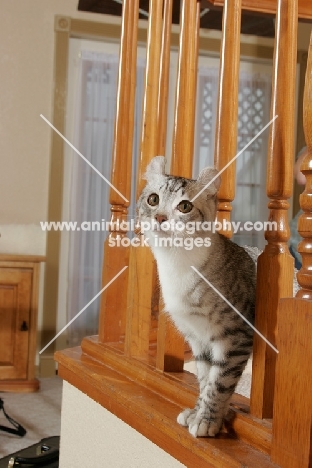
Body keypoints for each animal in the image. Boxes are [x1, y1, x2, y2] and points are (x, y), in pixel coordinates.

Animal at [136, 155, 256, 436]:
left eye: (184, 206)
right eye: (153, 199)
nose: (160, 217)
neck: (177, 264)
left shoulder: (236, 336)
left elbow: (219, 382)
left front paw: (208, 420)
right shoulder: (198, 339)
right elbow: (203, 378)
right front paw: (197, 411)